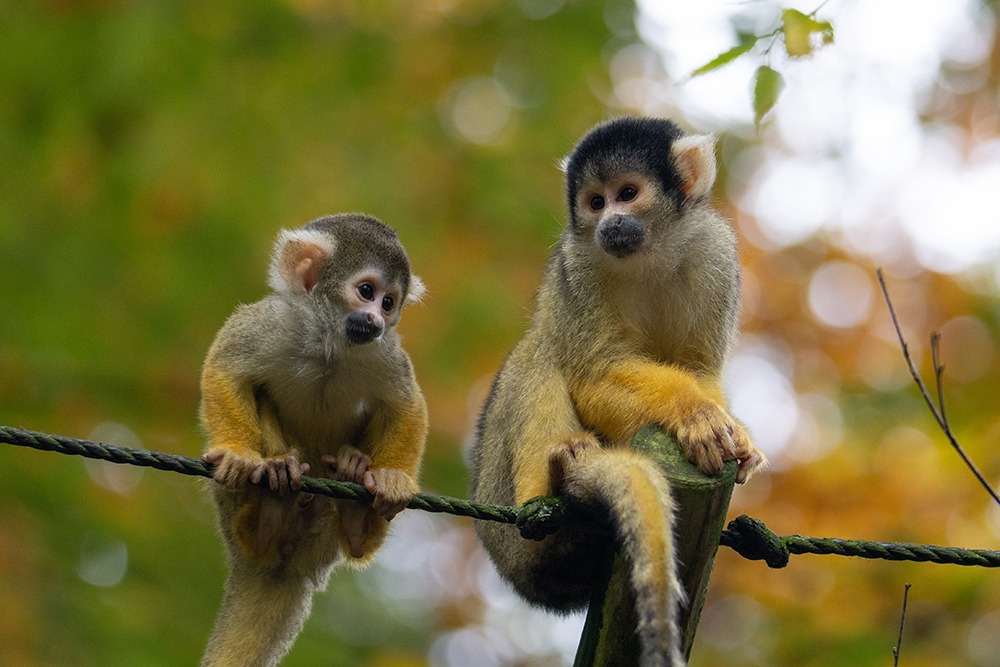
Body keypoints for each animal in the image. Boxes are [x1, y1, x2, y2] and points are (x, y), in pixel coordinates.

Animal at [198, 214, 426, 667]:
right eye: (366, 292)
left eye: (389, 303)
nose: (376, 320)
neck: (328, 344)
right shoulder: (274, 322)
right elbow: (226, 367)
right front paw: (238, 454)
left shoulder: (385, 351)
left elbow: (407, 406)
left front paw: (393, 478)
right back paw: (270, 506)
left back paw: (355, 510)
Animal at [470, 117, 764, 664]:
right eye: (595, 202)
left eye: (627, 194)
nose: (609, 222)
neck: (649, 253)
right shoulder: (578, 265)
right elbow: (594, 374)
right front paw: (695, 415)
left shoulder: (714, 252)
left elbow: (700, 369)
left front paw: (734, 435)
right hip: (504, 525)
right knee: (541, 350)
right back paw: (554, 482)